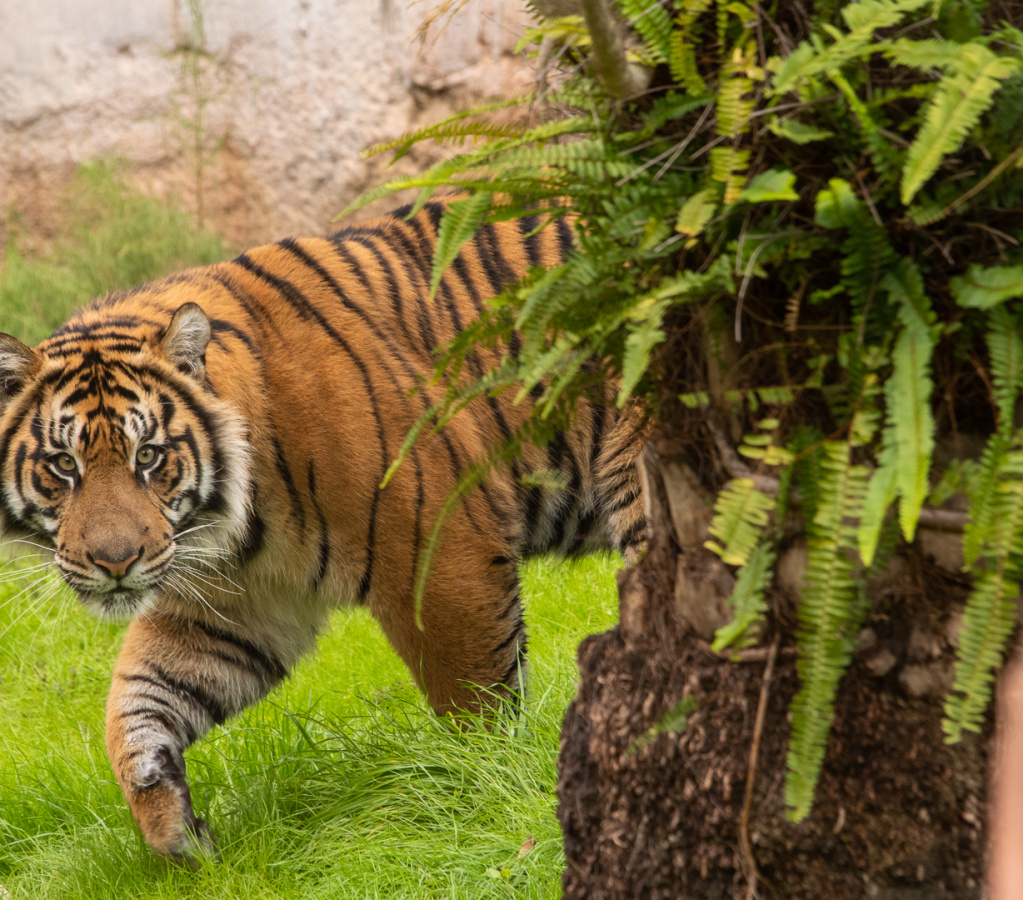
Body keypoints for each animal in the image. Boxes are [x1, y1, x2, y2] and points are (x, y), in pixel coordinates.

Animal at [0, 199, 646, 862]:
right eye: (64, 465)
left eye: (148, 456)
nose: (115, 562)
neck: (236, 525)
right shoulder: (236, 606)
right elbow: (135, 703)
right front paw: (172, 827)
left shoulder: (439, 550)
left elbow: (472, 698)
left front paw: (487, 785)